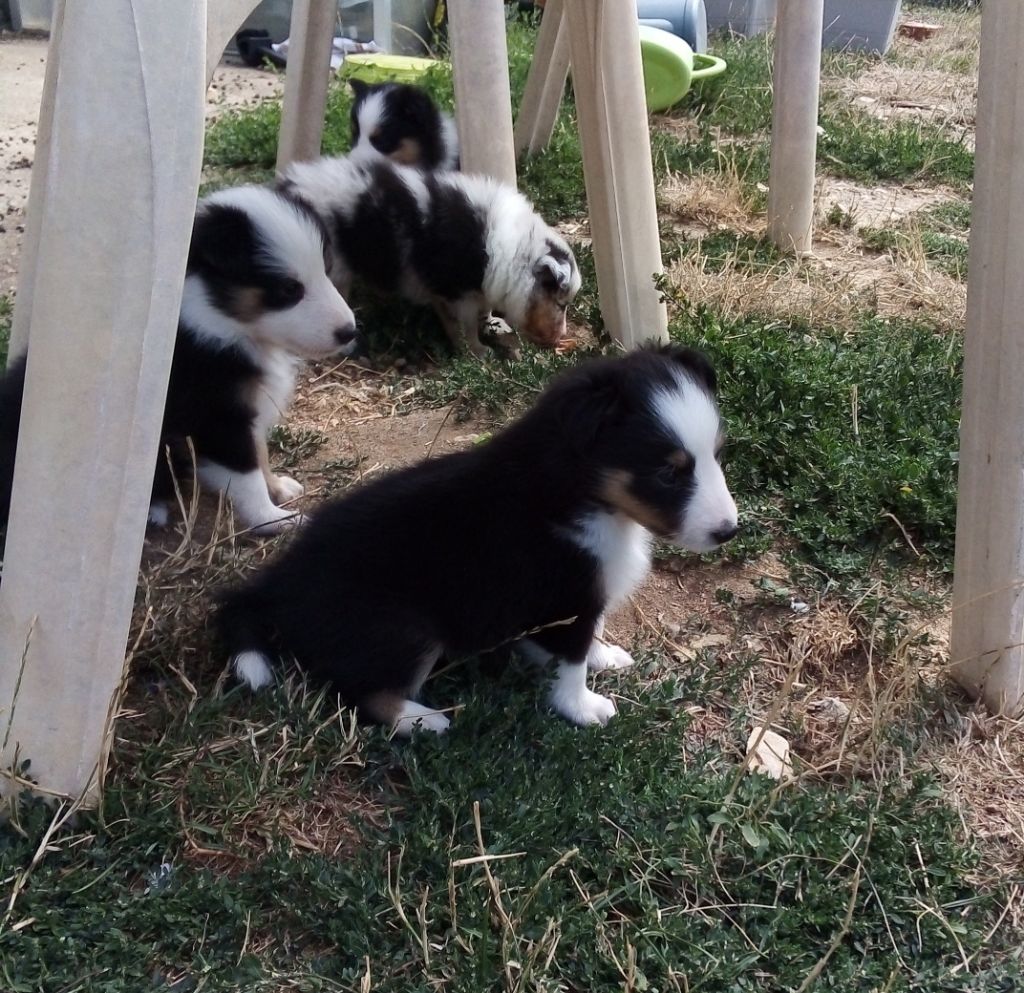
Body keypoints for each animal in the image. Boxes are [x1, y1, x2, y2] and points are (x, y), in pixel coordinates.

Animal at [0, 185, 358, 532]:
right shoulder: (217, 419)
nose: (349, 332)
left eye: (326, 270)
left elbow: (259, 450)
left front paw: (278, 487)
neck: (220, 321)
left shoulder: (247, 409)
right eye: (288, 289)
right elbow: (247, 476)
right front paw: (273, 519)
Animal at [220, 343, 741, 732]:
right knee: (362, 694)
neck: (579, 492)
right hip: (404, 629)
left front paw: (603, 655)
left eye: (717, 455)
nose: (729, 531)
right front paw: (582, 708)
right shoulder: (569, 595)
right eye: (668, 473)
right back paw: (424, 720)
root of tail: (275, 586)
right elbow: (571, 658)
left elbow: (580, 641)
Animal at [280, 152, 581, 354]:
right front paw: (477, 353)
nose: (562, 336)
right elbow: (465, 327)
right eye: (561, 304)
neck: (515, 254)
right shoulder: (457, 293)